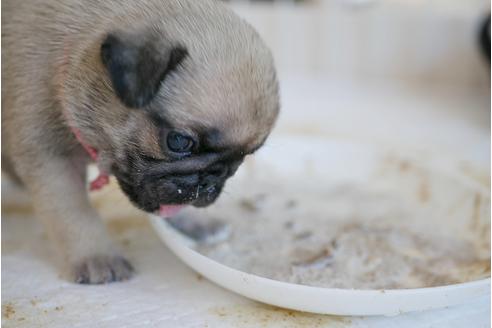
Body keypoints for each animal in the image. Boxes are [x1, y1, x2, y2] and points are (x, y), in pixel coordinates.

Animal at [0, 0, 276, 284]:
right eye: (179, 142)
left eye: (243, 158)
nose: (212, 179)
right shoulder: (53, 159)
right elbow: (74, 212)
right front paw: (98, 257)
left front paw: (197, 223)